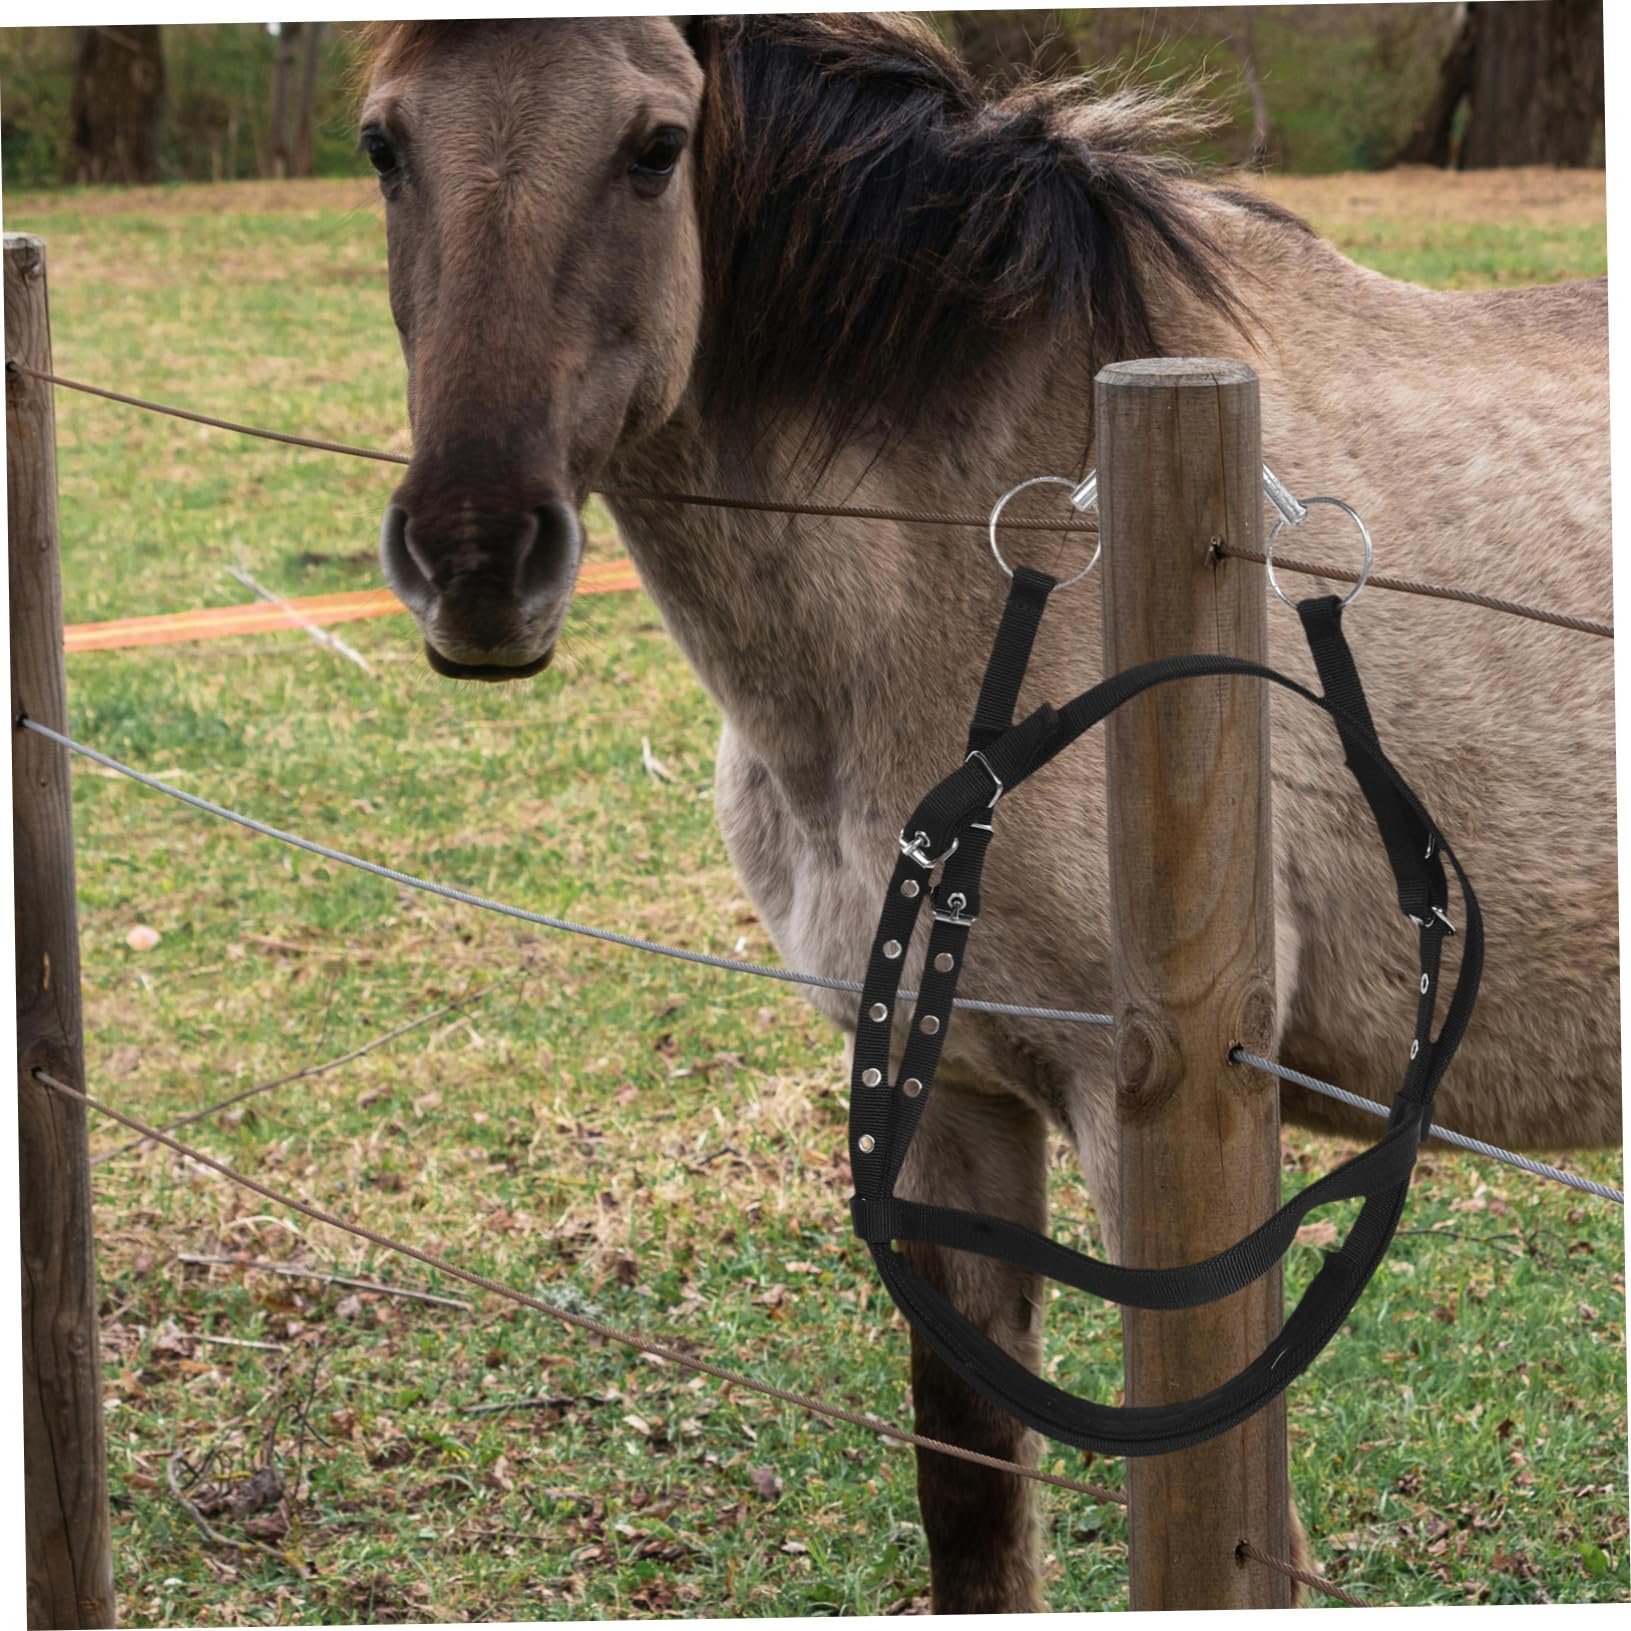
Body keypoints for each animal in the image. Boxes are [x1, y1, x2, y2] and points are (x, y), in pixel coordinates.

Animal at [355, 15, 1617, 1613]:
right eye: (382, 143)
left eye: (654, 145)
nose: (473, 560)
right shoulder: (942, 1100)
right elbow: (968, 1491)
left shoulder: (1162, 1129)